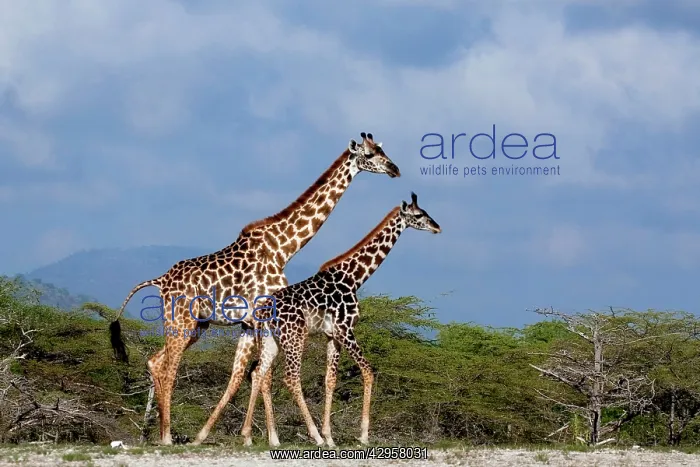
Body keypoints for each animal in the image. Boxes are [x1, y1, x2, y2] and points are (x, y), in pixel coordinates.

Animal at [109, 132, 401, 446]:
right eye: (369, 155)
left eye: (382, 149)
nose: (394, 169)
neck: (283, 247)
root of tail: (161, 281)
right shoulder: (265, 317)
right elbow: (264, 375)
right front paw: (272, 437)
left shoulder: (251, 323)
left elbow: (244, 375)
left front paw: (239, 436)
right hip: (181, 321)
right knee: (168, 368)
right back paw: (166, 436)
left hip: (198, 325)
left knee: (155, 360)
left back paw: (154, 431)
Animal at [240, 192, 441, 447]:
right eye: (419, 215)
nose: (437, 227)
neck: (354, 277)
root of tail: (263, 312)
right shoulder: (345, 330)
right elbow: (368, 371)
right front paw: (362, 435)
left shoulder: (332, 336)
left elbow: (330, 380)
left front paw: (330, 436)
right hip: (294, 337)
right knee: (291, 378)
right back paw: (313, 436)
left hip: (271, 340)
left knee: (258, 373)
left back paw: (251, 436)